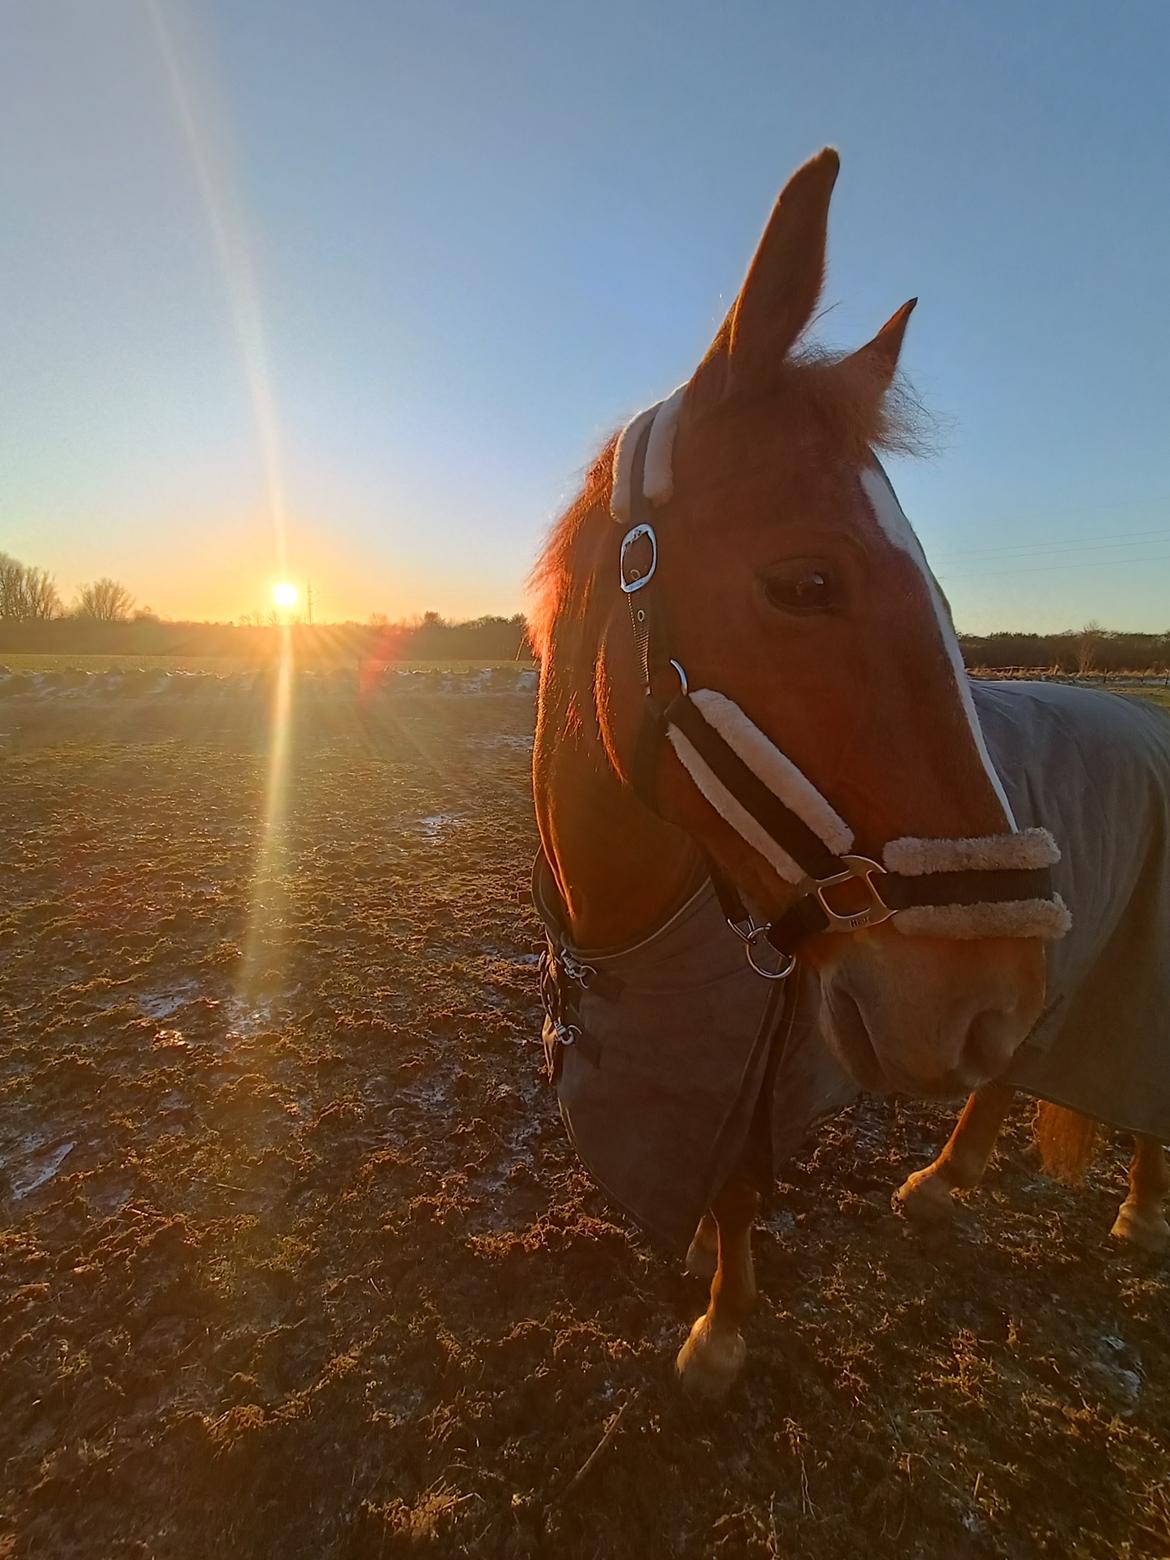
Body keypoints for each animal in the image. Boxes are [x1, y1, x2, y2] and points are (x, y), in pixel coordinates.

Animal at [533, 152, 1073, 1397]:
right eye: (805, 583)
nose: (991, 994)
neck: (628, 936)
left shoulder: (753, 1085)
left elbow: (738, 1195)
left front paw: (719, 1329)